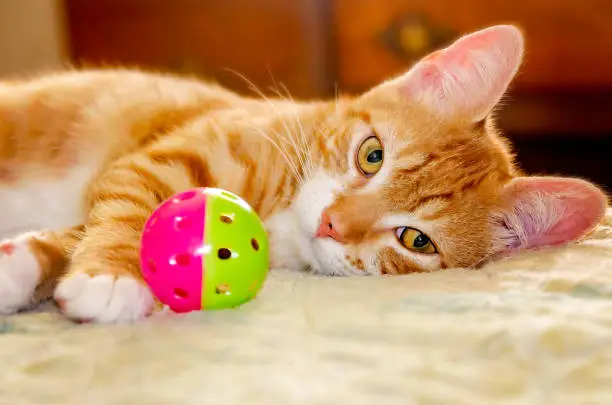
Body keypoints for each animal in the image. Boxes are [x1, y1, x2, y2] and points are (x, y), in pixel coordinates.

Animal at [0, 25, 604, 322]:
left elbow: (79, 230)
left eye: (416, 240)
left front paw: (22, 264)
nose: (333, 223)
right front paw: (111, 273)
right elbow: (127, 210)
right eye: (371, 156)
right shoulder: (157, 159)